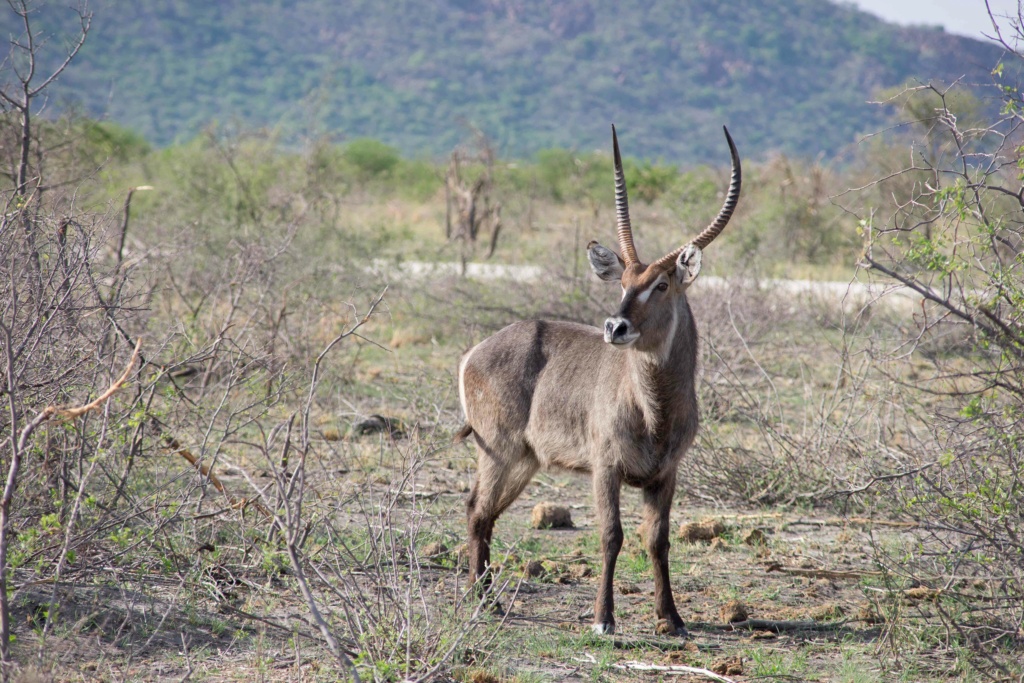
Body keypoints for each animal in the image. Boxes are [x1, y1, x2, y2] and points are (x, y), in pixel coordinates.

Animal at [456, 124, 737, 634]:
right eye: (623, 282)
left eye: (661, 284)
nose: (615, 327)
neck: (655, 409)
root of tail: (475, 352)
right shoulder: (605, 469)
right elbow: (611, 535)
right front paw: (604, 620)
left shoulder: (666, 475)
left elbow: (658, 540)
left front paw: (671, 618)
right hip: (499, 452)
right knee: (475, 511)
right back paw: (480, 600)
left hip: (524, 461)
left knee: (485, 515)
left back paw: (490, 599)